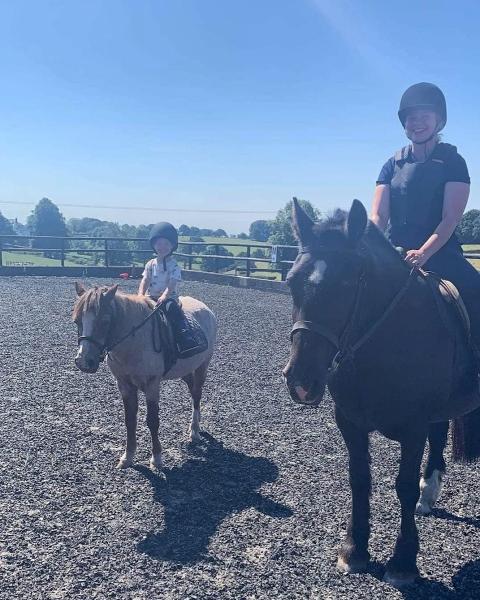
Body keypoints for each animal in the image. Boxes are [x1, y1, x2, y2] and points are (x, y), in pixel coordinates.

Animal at [72, 284, 217, 472]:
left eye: (105, 321)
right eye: (77, 321)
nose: (84, 361)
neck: (134, 343)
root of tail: (206, 309)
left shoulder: (152, 385)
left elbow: (153, 421)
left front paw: (156, 458)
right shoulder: (124, 385)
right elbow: (130, 420)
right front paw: (128, 456)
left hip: (202, 366)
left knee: (197, 394)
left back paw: (194, 430)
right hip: (186, 370)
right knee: (193, 392)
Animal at [282, 199, 480, 588]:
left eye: (347, 283)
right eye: (293, 281)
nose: (300, 379)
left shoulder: (414, 428)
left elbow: (403, 486)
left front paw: (403, 561)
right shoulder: (350, 422)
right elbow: (359, 479)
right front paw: (354, 550)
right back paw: (429, 493)